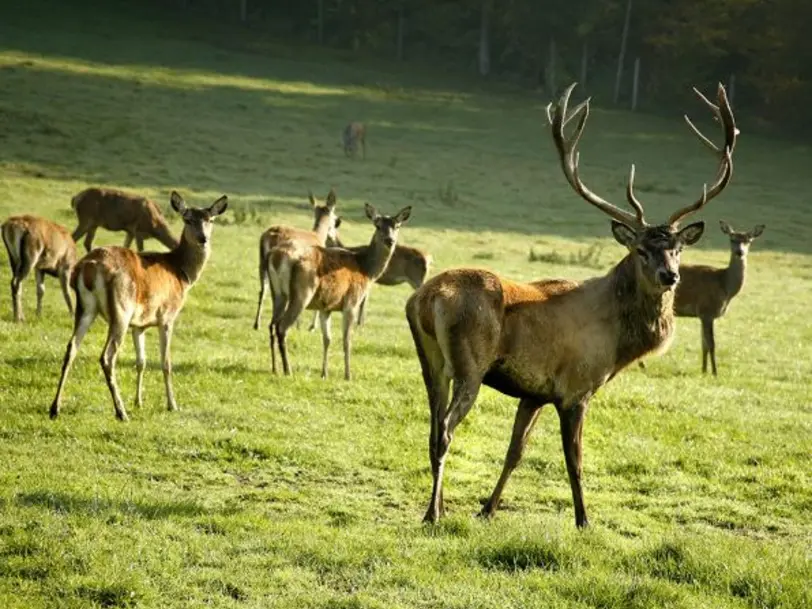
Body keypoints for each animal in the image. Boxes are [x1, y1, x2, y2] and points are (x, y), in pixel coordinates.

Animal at [49, 192, 228, 420]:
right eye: (187, 219)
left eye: (210, 220)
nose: (203, 238)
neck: (181, 275)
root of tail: (89, 266)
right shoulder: (167, 316)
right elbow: (166, 362)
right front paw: (172, 405)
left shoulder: (139, 324)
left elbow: (141, 361)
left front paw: (139, 402)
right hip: (121, 310)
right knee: (107, 357)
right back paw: (121, 412)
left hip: (86, 307)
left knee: (71, 348)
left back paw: (55, 408)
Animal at [254, 188, 342, 330]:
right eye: (335, 219)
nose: (336, 239)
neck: (317, 236)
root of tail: (269, 236)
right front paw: (312, 326)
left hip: (262, 263)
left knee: (263, 290)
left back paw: (257, 324)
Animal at [270, 202, 412, 378]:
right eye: (377, 225)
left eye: (397, 226)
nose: (390, 240)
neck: (366, 270)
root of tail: (277, 257)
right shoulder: (352, 302)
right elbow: (347, 340)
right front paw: (348, 375)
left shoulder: (326, 306)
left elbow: (327, 339)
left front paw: (324, 373)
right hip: (302, 293)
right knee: (282, 327)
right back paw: (287, 369)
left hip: (278, 293)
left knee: (272, 325)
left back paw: (274, 367)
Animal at [404, 82, 736, 528]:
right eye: (641, 250)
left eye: (677, 249)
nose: (670, 276)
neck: (618, 345)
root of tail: (425, 298)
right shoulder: (577, 388)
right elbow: (574, 461)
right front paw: (584, 520)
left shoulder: (534, 392)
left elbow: (515, 452)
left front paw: (487, 509)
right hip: (469, 365)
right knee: (444, 431)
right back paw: (432, 514)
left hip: (432, 363)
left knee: (431, 428)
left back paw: (438, 507)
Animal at [672, 220, 760, 376]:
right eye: (732, 239)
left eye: (749, 240)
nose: (740, 252)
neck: (724, 285)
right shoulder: (707, 311)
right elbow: (711, 344)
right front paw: (714, 372)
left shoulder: (702, 315)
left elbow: (704, 344)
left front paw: (704, 370)